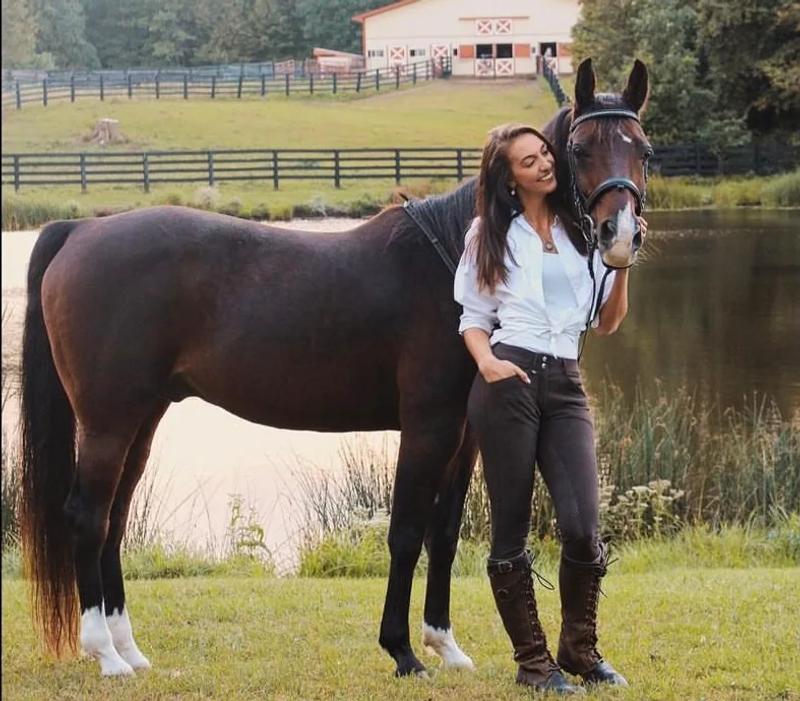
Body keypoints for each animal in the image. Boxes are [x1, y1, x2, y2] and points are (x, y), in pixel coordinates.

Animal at [19, 57, 650, 678]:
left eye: (642, 149)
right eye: (578, 150)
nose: (620, 236)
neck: (454, 257)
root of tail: (83, 229)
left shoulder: (467, 433)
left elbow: (445, 535)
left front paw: (444, 644)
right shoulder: (428, 427)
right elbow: (407, 532)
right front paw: (402, 651)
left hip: (141, 419)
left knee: (115, 518)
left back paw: (128, 648)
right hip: (108, 422)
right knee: (87, 516)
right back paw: (104, 653)